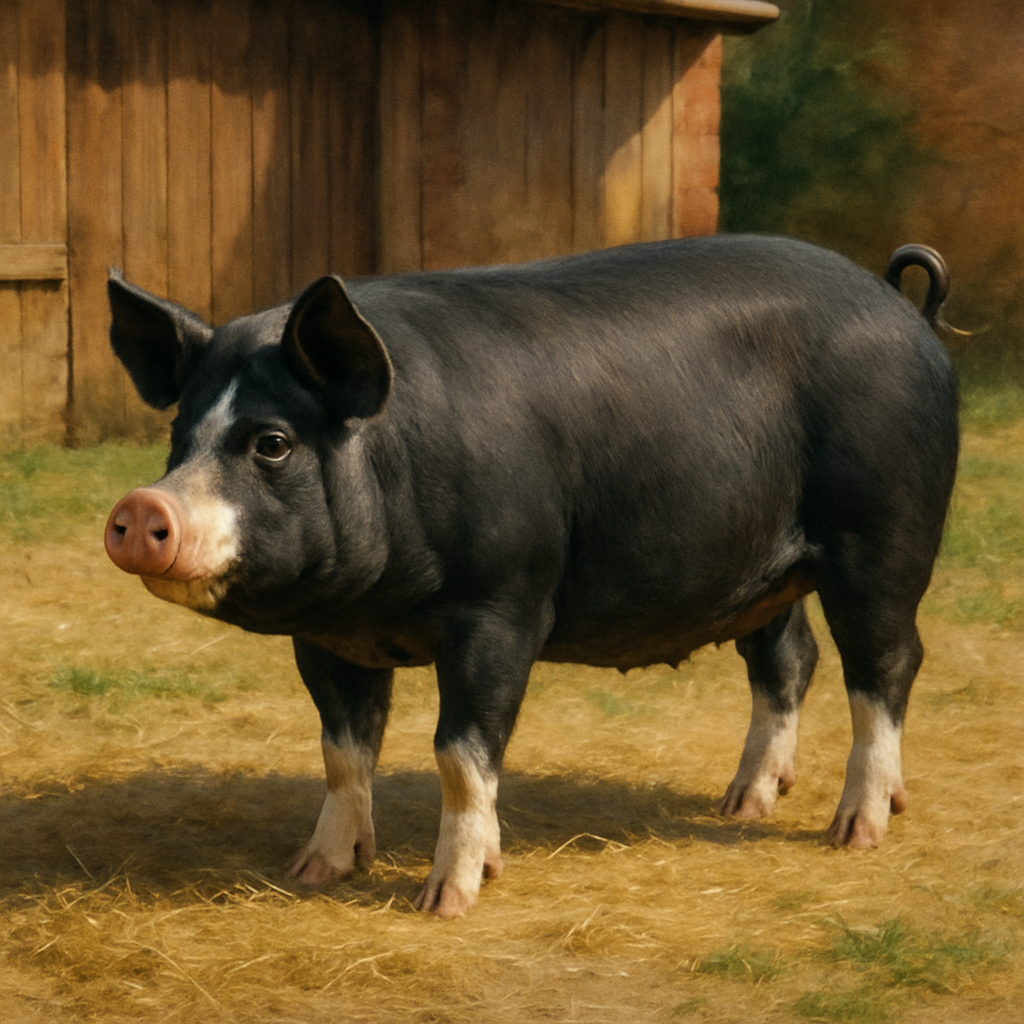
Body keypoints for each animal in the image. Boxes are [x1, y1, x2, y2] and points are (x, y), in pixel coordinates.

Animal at [104, 235, 958, 918]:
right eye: (180, 436)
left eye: (273, 443)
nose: (142, 506)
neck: (379, 605)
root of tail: (902, 305)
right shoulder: (328, 638)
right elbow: (343, 752)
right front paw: (313, 873)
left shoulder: (502, 605)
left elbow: (459, 753)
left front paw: (445, 901)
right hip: (765, 569)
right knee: (789, 660)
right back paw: (744, 805)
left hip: (883, 535)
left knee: (887, 664)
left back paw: (856, 831)